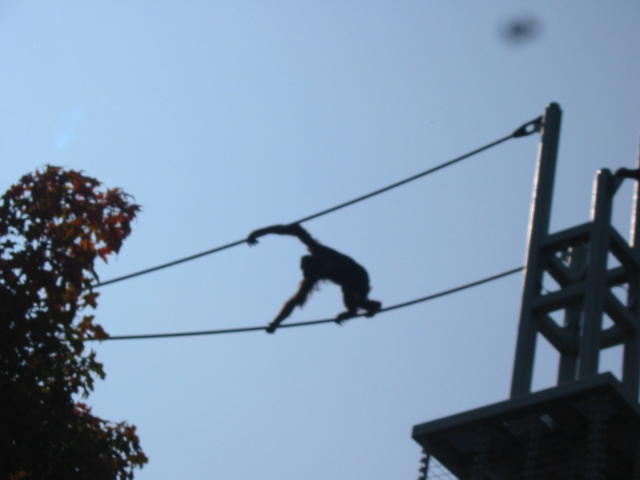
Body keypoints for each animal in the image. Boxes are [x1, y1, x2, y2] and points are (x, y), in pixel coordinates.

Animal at [247, 224, 382, 333]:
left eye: (303, 268)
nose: (303, 273)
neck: (321, 264)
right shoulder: (313, 273)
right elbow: (295, 231)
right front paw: (275, 323)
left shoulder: (318, 253)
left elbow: (298, 232)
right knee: (352, 295)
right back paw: (364, 309)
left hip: (361, 279)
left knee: (354, 294)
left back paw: (364, 309)